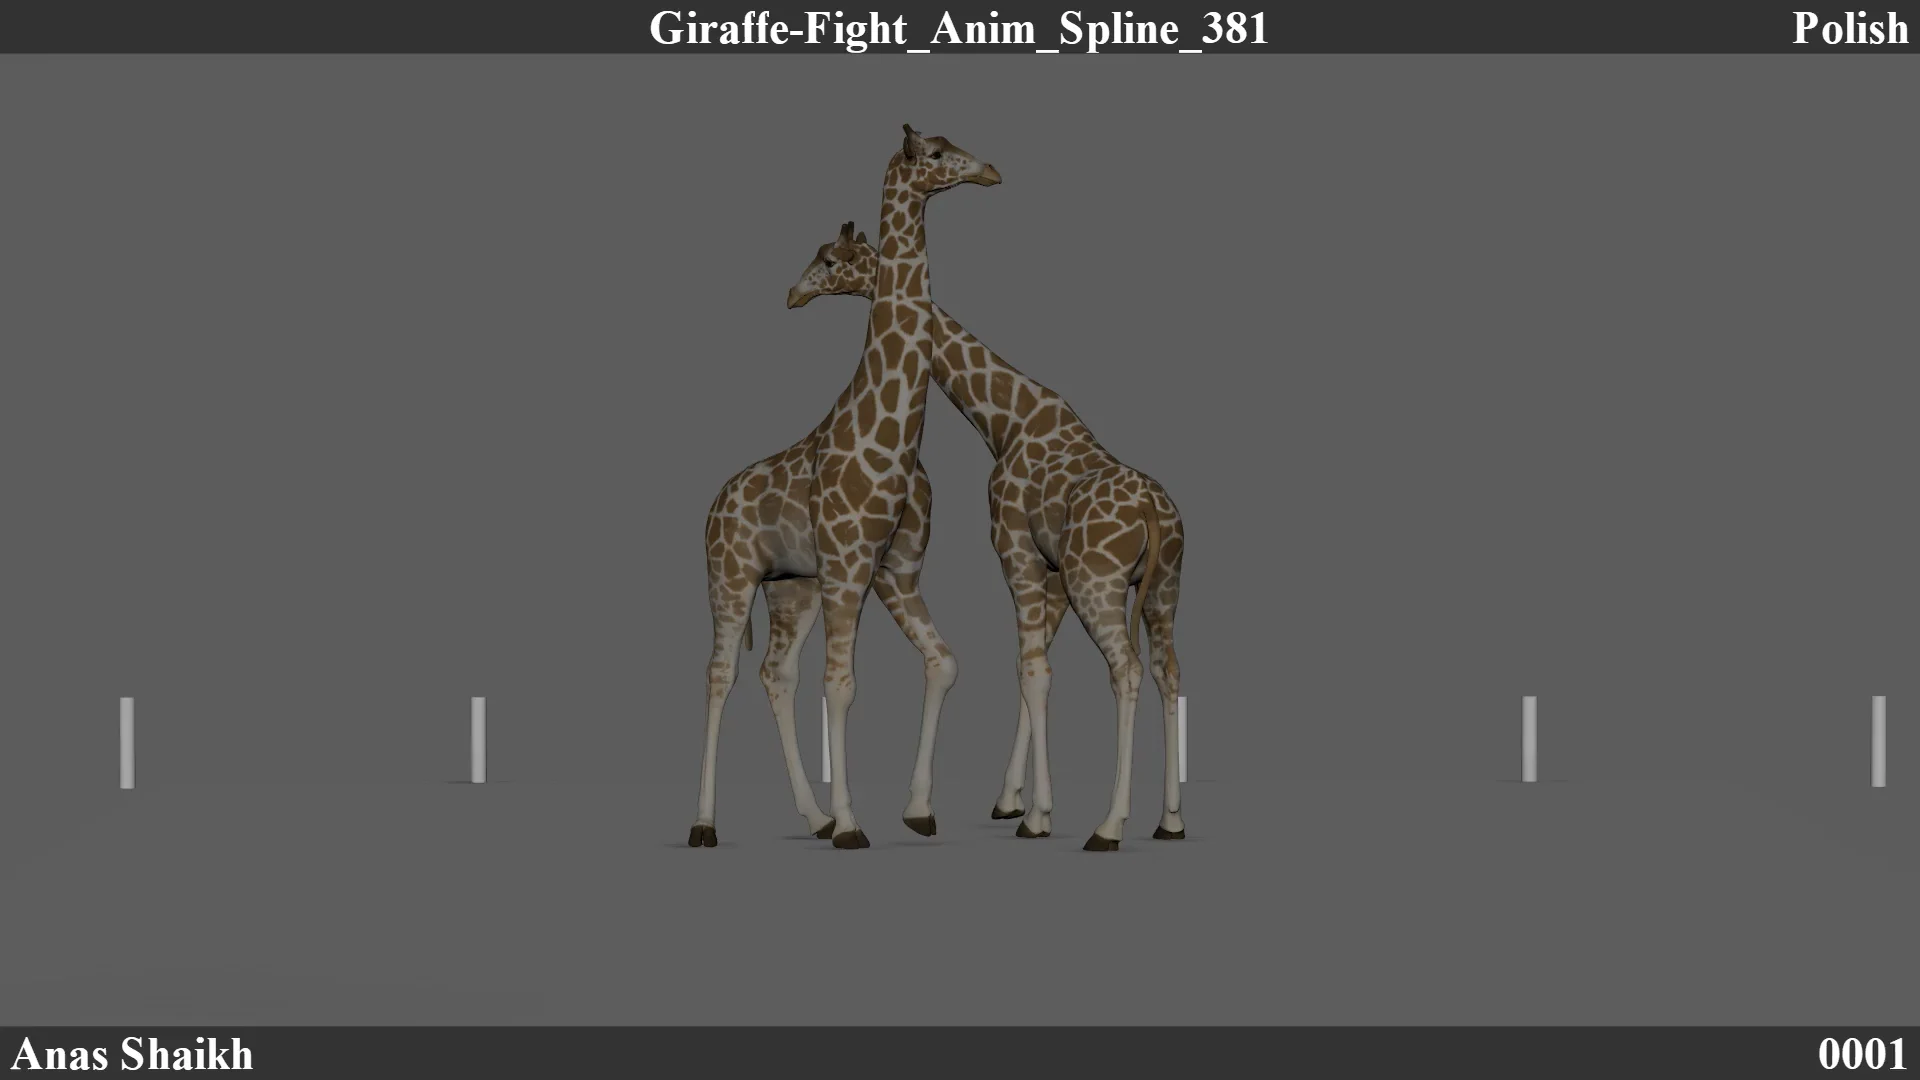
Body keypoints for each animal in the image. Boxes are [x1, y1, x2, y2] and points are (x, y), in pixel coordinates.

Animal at [689, 128, 999, 849]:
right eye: (935, 154)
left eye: (830, 259)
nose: (792, 292)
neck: (895, 437)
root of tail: (714, 504)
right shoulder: (851, 567)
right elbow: (842, 686)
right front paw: (855, 826)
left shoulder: (894, 571)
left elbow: (941, 662)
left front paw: (916, 810)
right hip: (731, 576)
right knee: (721, 674)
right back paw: (706, 824)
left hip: (791, 589)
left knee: (777, 674)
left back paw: (813, 815)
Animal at [784, 168, 1187, 852]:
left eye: (830, 259)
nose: (792, 293)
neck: (1004, 419)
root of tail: (1157, 516)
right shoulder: (1049, 572)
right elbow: (1033, 665)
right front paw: (1014, 802)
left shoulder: (1017, 551)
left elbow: (1032, 671)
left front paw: (1035, 816)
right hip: (1164, 588)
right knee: (1167, 670)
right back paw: (1170, 821)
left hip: (1102, 583)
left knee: (1127, 671)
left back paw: (1109, 825)